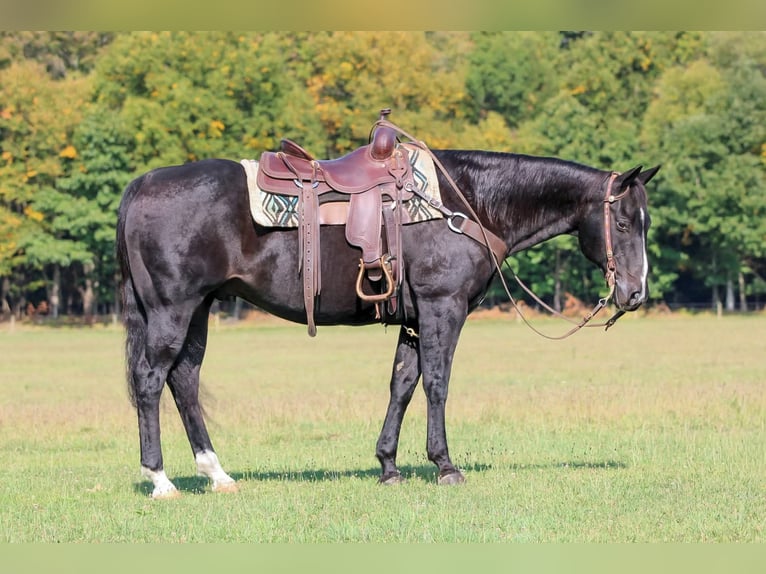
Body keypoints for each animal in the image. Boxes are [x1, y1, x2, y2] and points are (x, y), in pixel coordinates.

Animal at [116, 139, 659, 498]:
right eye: (623, 222)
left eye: (645, 223)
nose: (634, 293)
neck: (466, 202)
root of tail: (143, 183)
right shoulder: (443, 307)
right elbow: (436, 383)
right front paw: (444, 465)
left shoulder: (414, 319)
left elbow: (402, 383)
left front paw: (388, 465)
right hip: (172, 310)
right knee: (151, 380)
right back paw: (160, 479)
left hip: (198, 311)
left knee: (184, 381)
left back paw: (217, 474)